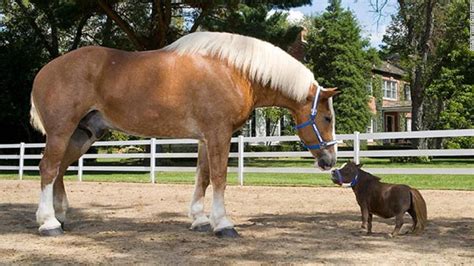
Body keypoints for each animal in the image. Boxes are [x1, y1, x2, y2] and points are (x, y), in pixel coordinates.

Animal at [29, 31, 338, 237]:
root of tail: (45, 71)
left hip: (84, 134)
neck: (235, 72)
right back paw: (49, 223)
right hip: (61, 132)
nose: (330, 161)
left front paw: (200, 219)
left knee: (60, 169)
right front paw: (223, 224)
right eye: (327, 117)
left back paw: (60, 216)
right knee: (49, 168)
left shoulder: (205, 138)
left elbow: (203, 177)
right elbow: (219, 177)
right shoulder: (219, 134)